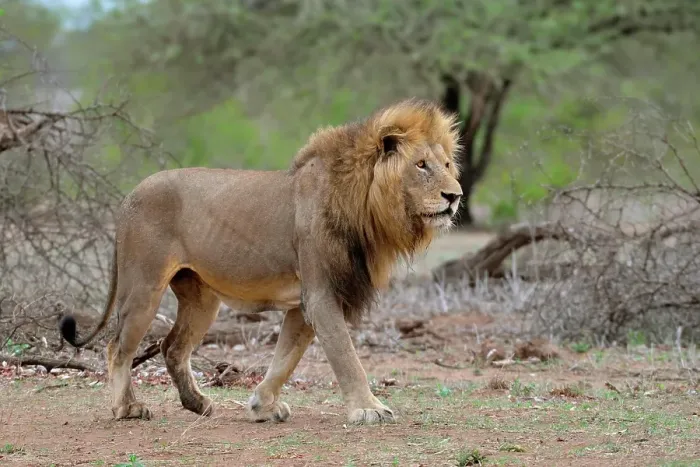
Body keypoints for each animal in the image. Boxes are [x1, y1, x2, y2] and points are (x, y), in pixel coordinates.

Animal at [58, 98, 463, 425]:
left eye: (446, 164)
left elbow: (285, 358)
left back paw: (198, 403)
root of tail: (129, 197)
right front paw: (369, 409)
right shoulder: (321, 295)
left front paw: (261, 406)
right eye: (421, 165)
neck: (365, 206)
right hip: (143, 287)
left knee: (171, 346)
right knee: (117, 346)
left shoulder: (304, 304)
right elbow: (346, 357)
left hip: (202, 299)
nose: (455, 196)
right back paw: (127, 408)